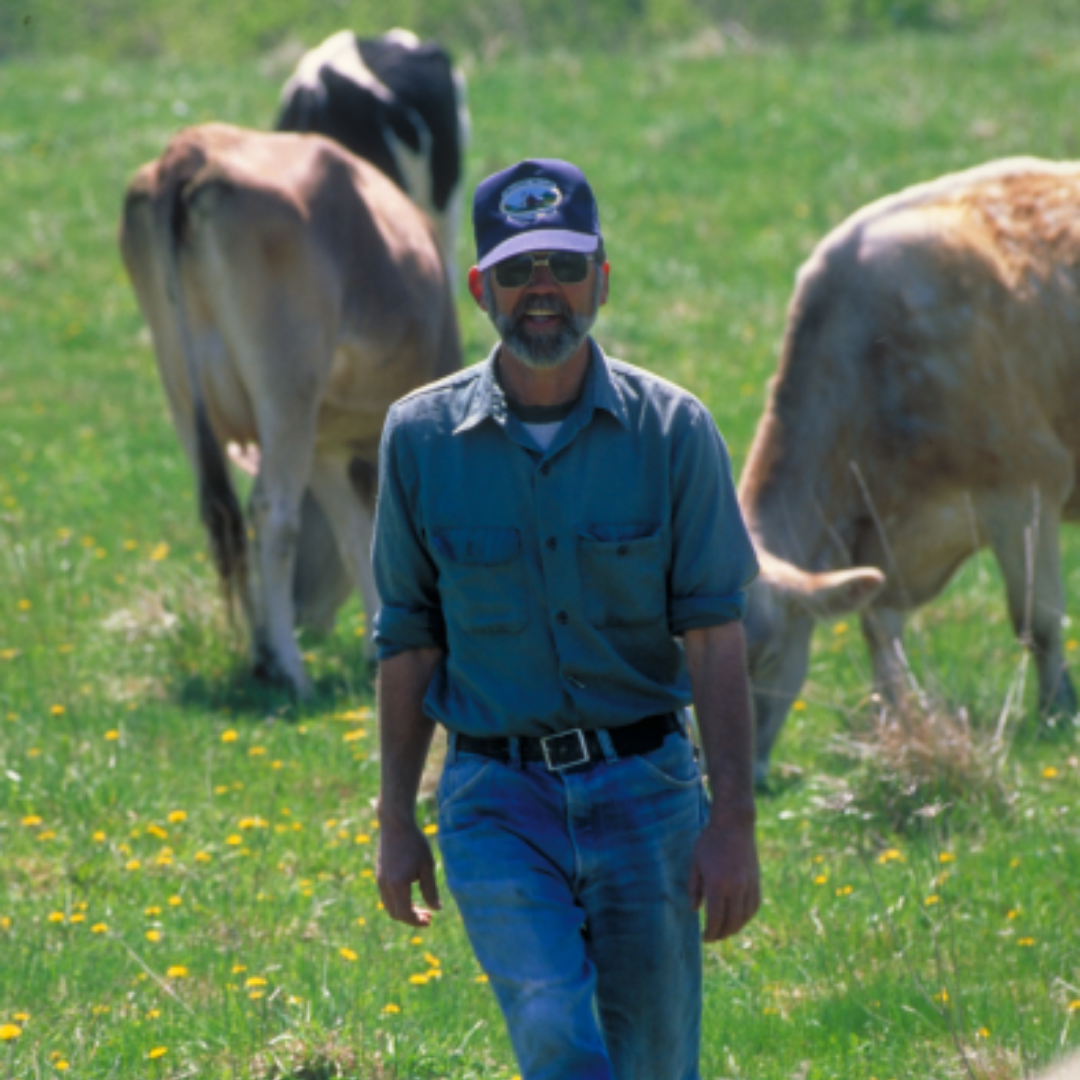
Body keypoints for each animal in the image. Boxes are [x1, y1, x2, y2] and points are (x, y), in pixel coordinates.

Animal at [120, 122, 462, 695]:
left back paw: (262, 653)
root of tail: (190, 148)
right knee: (271, 511)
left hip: (181, 385)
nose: (304, 613)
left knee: (225, 513)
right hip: (287, 384)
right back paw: (289, 665)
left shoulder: (323, 442)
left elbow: (356, 534)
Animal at [743, 157, 1080, 786]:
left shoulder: (1028, 486)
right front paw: (894, 720)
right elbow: (879, 629)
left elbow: (1038, 618)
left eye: (769, 654)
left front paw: (1057, 712)